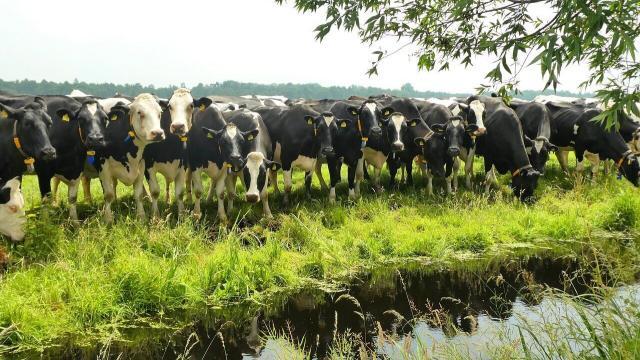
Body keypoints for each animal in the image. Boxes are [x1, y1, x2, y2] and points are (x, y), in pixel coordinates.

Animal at [144, 88, 214, 217]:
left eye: (191, 105)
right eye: (170, 106)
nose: (177, 126)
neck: (169, 146)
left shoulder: (182, 167)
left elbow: (180, 193)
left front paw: (181, 214)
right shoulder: (148, 167)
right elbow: (155, 191)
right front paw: (155, 216)